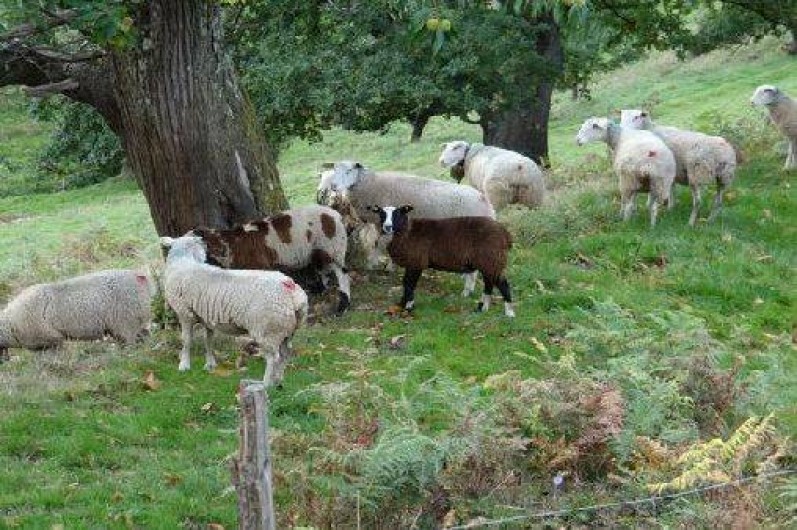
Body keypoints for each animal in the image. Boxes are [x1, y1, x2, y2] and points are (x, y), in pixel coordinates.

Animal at [0, 269, 153, 358]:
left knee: (130, 342)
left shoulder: (50, 340)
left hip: (126, 321)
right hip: (132, 320)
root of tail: (140, 276)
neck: (9, 324)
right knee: (143, 336)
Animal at [160, 235, 308, 386]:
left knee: (273, 357)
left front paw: (184, 365)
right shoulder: (207, 318)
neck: (184, 262)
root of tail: (289, 286)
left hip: (268, 329)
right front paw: (210, 365)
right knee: (285, 354)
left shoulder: (184, 313)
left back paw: (266, 383)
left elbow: (186, 340)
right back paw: (278, 380)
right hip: (287, 329)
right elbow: (208, 340)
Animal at [191, 204, 351, 314]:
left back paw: (343, 305)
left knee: (342, 273)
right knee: (322, 267)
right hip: (318, 249)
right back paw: (319, 289)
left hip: (333, 246)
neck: (233, 244)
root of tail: (336, 215)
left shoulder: (261, 265)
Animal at [317, 160, 495, 297]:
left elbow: (379, 245)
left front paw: (375, 265)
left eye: (349, 171)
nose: (333, 186)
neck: (370, 185)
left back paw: (467, 290)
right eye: (334, 169)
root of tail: (486, 203)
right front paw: (389, 265)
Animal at [367, 205, 515, 317]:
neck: (407, 231)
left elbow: (410, 284)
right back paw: (482, 308)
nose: (387, 227)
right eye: (381, 214)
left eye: (398, 214)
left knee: (502, 284)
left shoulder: (416, 262)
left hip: (491, 259)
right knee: (489, 284)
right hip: (488, 262)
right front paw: (402, 303)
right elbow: (405, 283)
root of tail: (505, 233)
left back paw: (509, 312)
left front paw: (409, 306)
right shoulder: (411, 263)